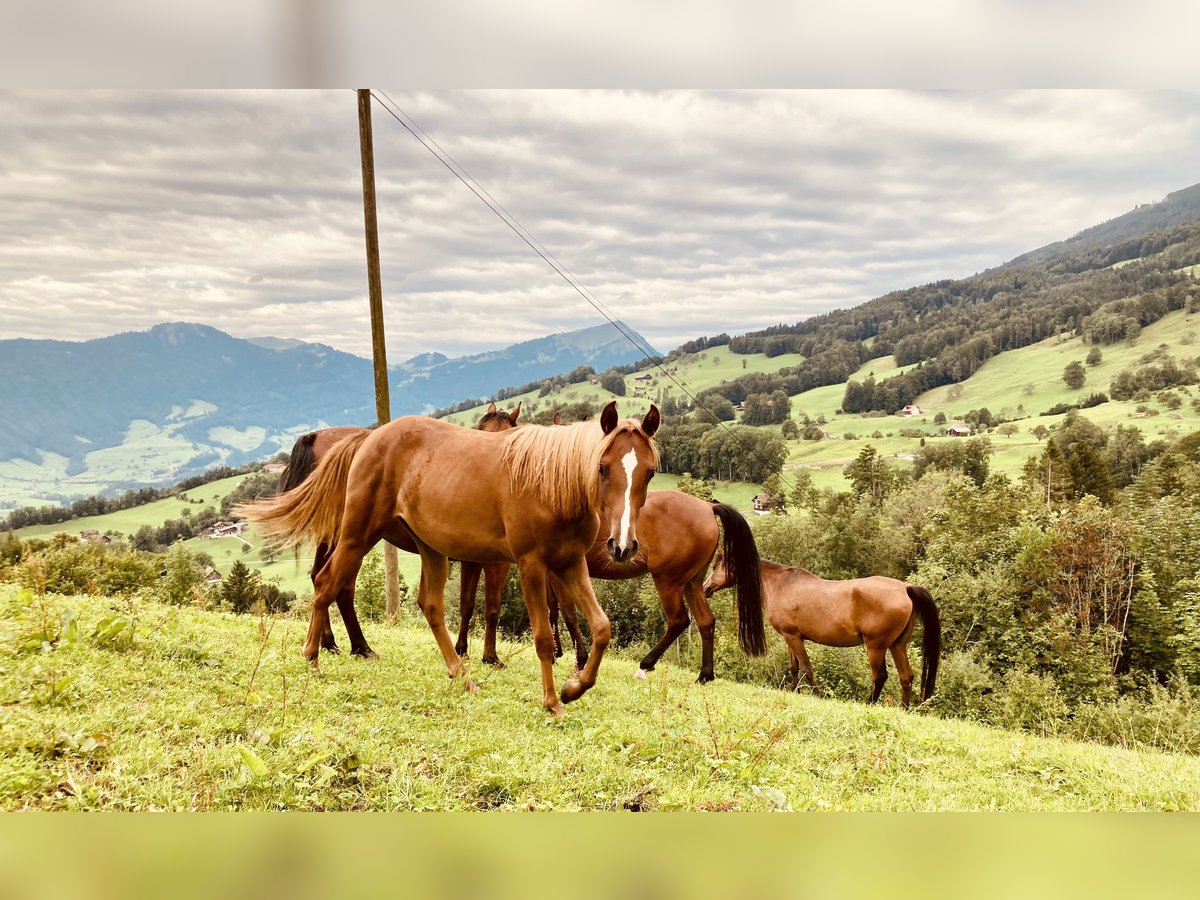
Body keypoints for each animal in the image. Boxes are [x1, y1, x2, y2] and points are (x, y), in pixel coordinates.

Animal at [276, 405, 520, 667]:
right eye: (482, 430)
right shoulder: (496, 563)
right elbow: (491, 608)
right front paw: (490, 656)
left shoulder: (471, 562)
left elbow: (467, 604)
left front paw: (462, 649)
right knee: (338, 586)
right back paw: (353, 645)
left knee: (323, 580)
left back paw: (339, 643)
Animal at [453, 489, 763, 681]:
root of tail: (707, 506)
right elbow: (555, 611)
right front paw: (558, 653)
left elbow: (568, 613)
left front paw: (579, 658)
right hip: (692, 582)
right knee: (706, 622)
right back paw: (705, 675)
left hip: (668, 580)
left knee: (678, 621)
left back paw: (645, 665)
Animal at [700, 554, 940, 710]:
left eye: (715, 566)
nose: (705, 588)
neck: (779, 585)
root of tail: (905, 588)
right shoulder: (790, 637)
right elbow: (794, 668)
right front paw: (795, 691)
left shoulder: (794, 637)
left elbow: (807, 668)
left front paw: (816, 695)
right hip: (898, 645)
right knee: (906, 677)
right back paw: (904, 709)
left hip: (876, 647)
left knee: (880, 676)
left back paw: (869, 704)